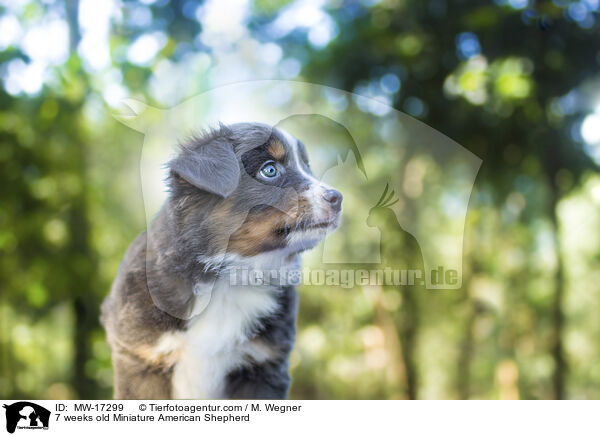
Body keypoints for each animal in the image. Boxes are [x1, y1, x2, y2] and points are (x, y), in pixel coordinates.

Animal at [101, 122, 340, 398]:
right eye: (269, 170)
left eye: (306, 166)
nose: (337, 197)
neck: (229, 278)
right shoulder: (140, 360)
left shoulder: (264, 365)